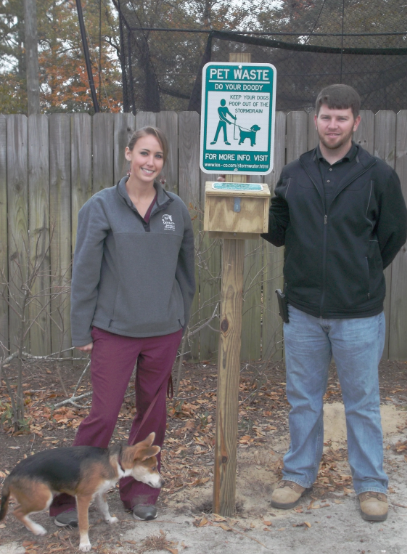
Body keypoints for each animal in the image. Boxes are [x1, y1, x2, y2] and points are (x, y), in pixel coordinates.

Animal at [1, 434, 164, 548]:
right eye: (153, 468)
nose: (163, 482)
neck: (115, 461)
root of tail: (10, 475)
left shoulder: (100, 493)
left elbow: (105, 508)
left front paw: (109, 520)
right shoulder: (83, 497)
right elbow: (84, 523)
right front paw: (84, 543)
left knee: (21, 511)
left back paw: (31, 527)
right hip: (43, 499)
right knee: (17, 511)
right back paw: (36, 529)